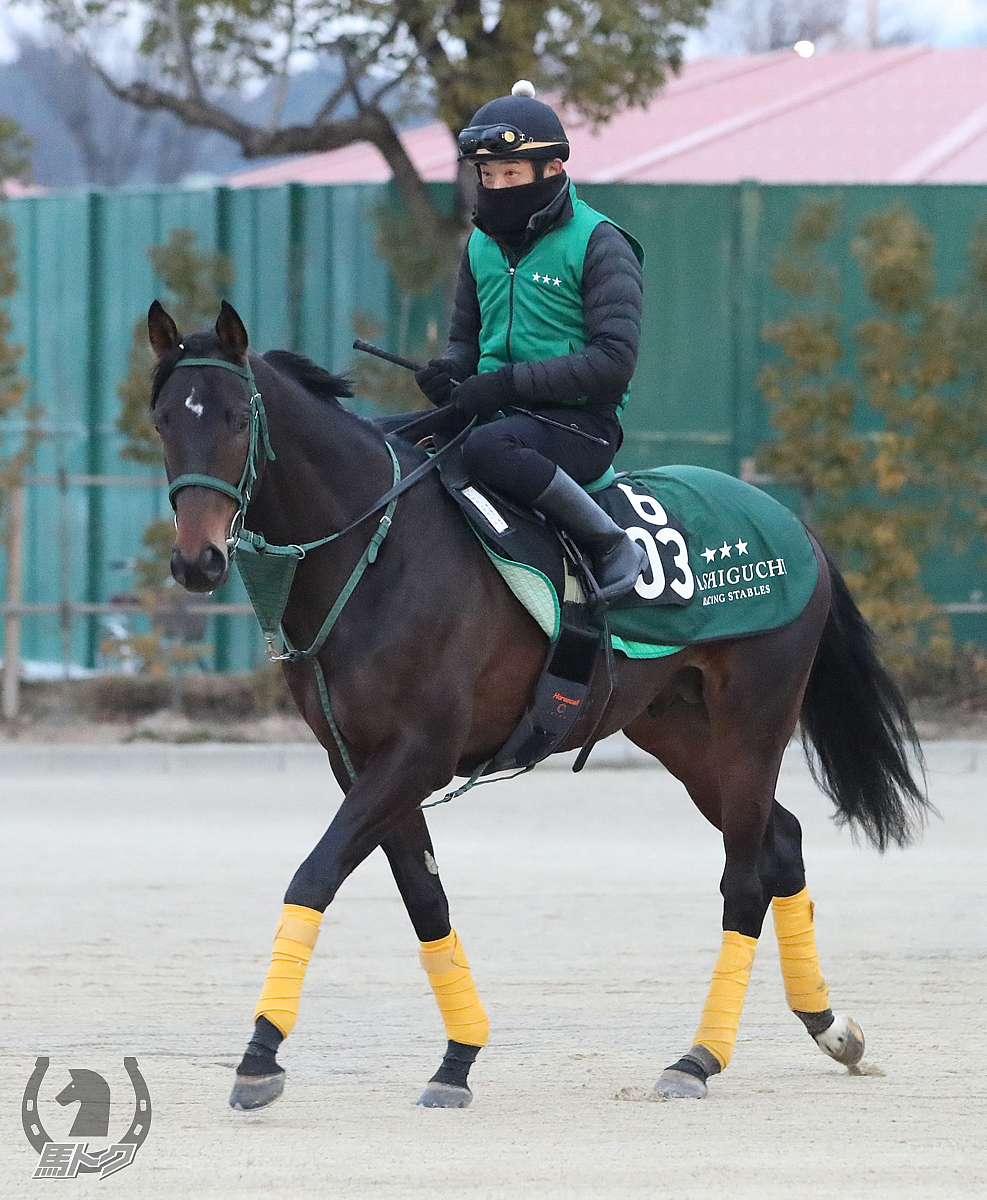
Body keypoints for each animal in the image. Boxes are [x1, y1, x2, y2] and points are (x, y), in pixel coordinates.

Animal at [147, 302, 926, 1113]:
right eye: (164, 419)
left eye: (238, 417)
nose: (196, 559)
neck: (378, 550)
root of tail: (790, 523)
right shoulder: (358, 762)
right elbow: (425, 899)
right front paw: (457, 1058)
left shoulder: (417, 755)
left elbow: (314, 875)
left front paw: (260, 1052)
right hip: (680, 732)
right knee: (782, 840)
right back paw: (827, 1024)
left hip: (753, 721)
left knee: (744, 876)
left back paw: (698, 1057)